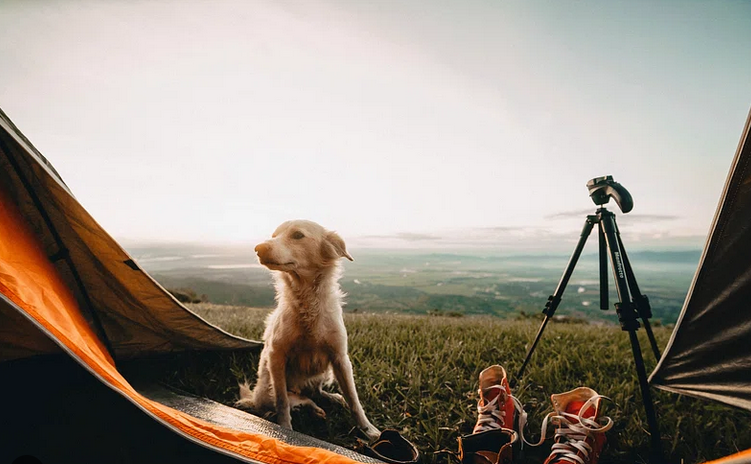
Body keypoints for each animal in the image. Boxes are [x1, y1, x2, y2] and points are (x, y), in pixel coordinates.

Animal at [238, 219, 382, 440]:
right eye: (274, 236)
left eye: (298, 235)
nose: (258, 248)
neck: (307, 301)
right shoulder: (276, 356)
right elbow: (282, 402)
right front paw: (285, 429)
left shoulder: (340, 358)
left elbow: (354, 399)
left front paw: (369, 430)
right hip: (272, 392)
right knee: (301, 400)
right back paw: (311, 410)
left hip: (325, 372)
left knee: (315, 393)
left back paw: (332, 399)